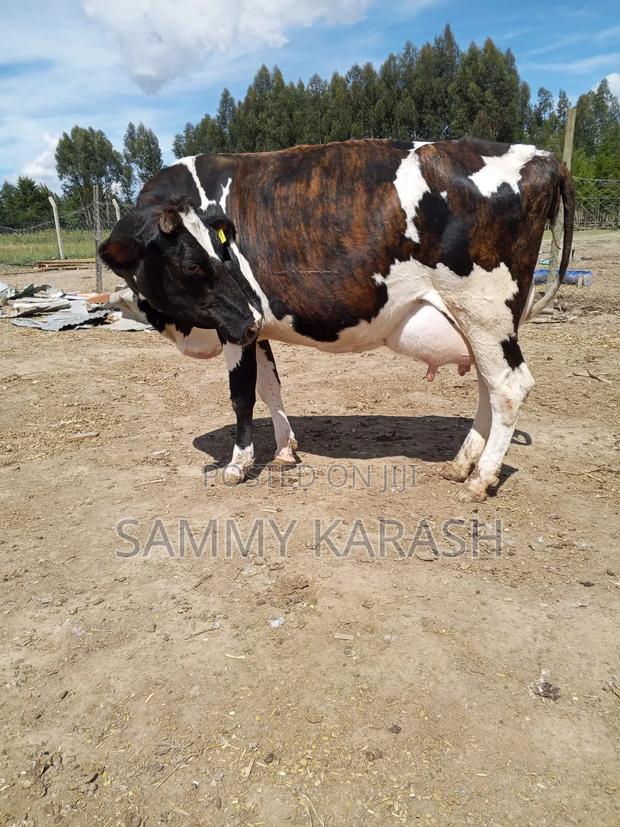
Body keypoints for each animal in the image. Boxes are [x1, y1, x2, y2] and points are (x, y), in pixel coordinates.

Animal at [99, 138, 575, 501]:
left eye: (219, 255)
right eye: (192, 265)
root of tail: (543, 156)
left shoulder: (237, 324)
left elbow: (242, 396)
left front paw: (238, 464)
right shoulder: (253, 323)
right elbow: (271, 388)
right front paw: (285, 451)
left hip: (484, 310)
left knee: (509, 387)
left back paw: (479, 480)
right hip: (480, 322)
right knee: (487, 386)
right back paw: (462, 464)